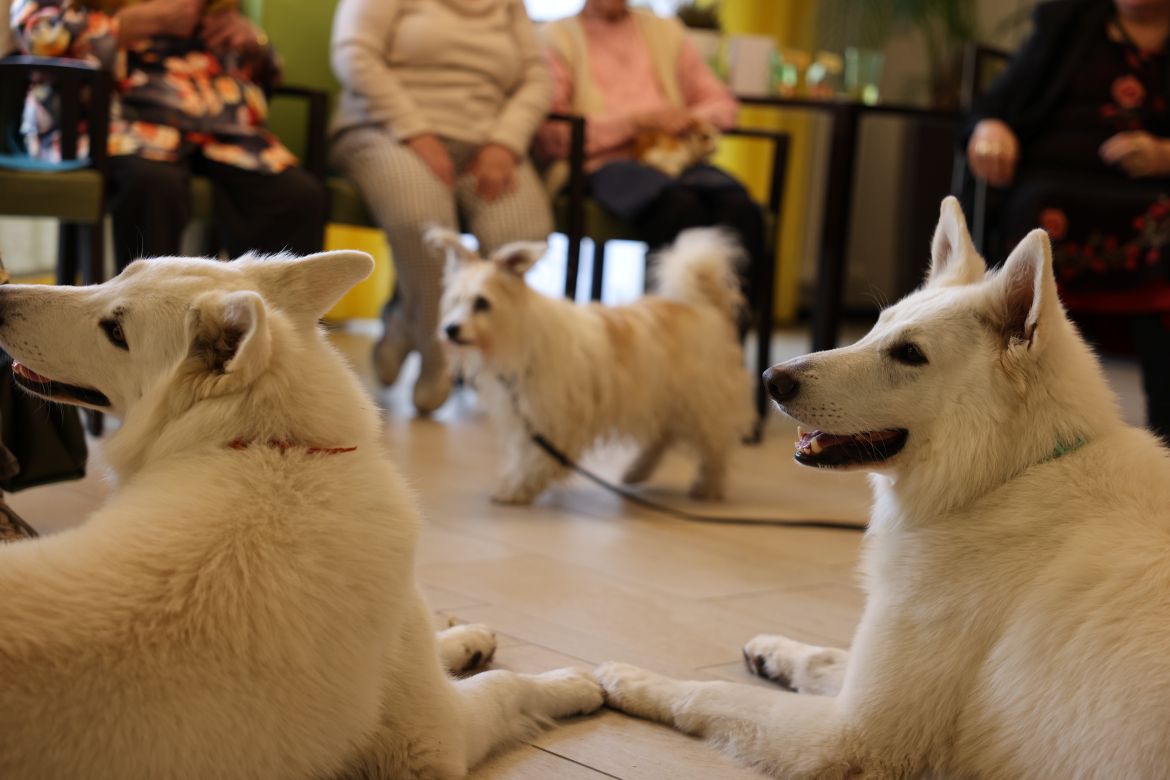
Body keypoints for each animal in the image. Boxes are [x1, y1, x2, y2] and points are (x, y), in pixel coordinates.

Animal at [0, 251, 603, 780]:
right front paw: (574, 683)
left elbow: (446, 649)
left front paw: (469, 636)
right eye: (119, 276)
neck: (277, 446)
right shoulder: (435, 735)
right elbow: (507, 686)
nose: (1, 293)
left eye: (115, 330)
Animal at [435, 225, 753, 507]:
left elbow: (536, 458)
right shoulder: (528, 416)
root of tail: (707, 308)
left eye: (482, 303)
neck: (519, 335)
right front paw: (517, 482)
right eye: (455, 300)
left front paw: (516, 488)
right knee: (662, 438)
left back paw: (709, 487)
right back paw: (636, 471)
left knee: (714, 448)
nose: (450, 329)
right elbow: (526, 453)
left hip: (703, 405)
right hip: (665, 401)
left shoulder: (553, 418)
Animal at [594, 198, 1170, 776]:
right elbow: (827, 657)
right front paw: (776, 653)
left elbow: (710, 692)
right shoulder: (868, 683)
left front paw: (633, 680)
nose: (771, 379)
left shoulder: (853, 734)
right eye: (875, 326)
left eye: (910, 354)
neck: (1009, 477)